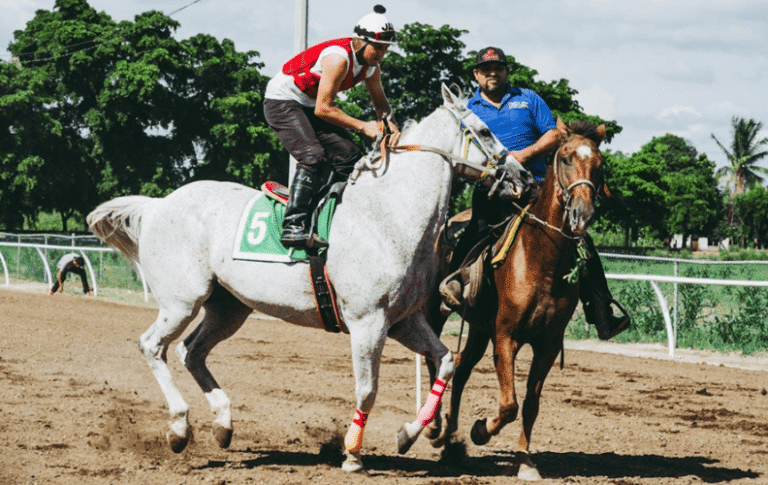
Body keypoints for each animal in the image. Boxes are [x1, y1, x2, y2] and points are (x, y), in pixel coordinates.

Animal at [86, 84, 532, 474]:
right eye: (486, 131)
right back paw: (180, 426)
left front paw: (407, 434)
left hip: (228, 308)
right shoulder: (368, 323)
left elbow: (445, 362)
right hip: (182, 301)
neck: (388, 217)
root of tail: (157, 205)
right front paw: (352, 454)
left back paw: (223, 424)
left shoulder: (403, 321)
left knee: (191, 351)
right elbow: (367, 389)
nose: (525, 178)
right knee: (153, 346)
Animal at [424, 117, 608, 481]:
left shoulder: (548, 343)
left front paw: (525, 461)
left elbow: (529, 405)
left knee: (462, 368)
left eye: (599, 164)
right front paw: (481, 430)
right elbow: (508, 404)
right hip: (439, 313)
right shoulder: (506, 337)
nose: (582, 213)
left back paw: (451, 442)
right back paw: (434, 428)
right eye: (565, 157)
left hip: (480, 329)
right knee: (436, 360)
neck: (543, 261)